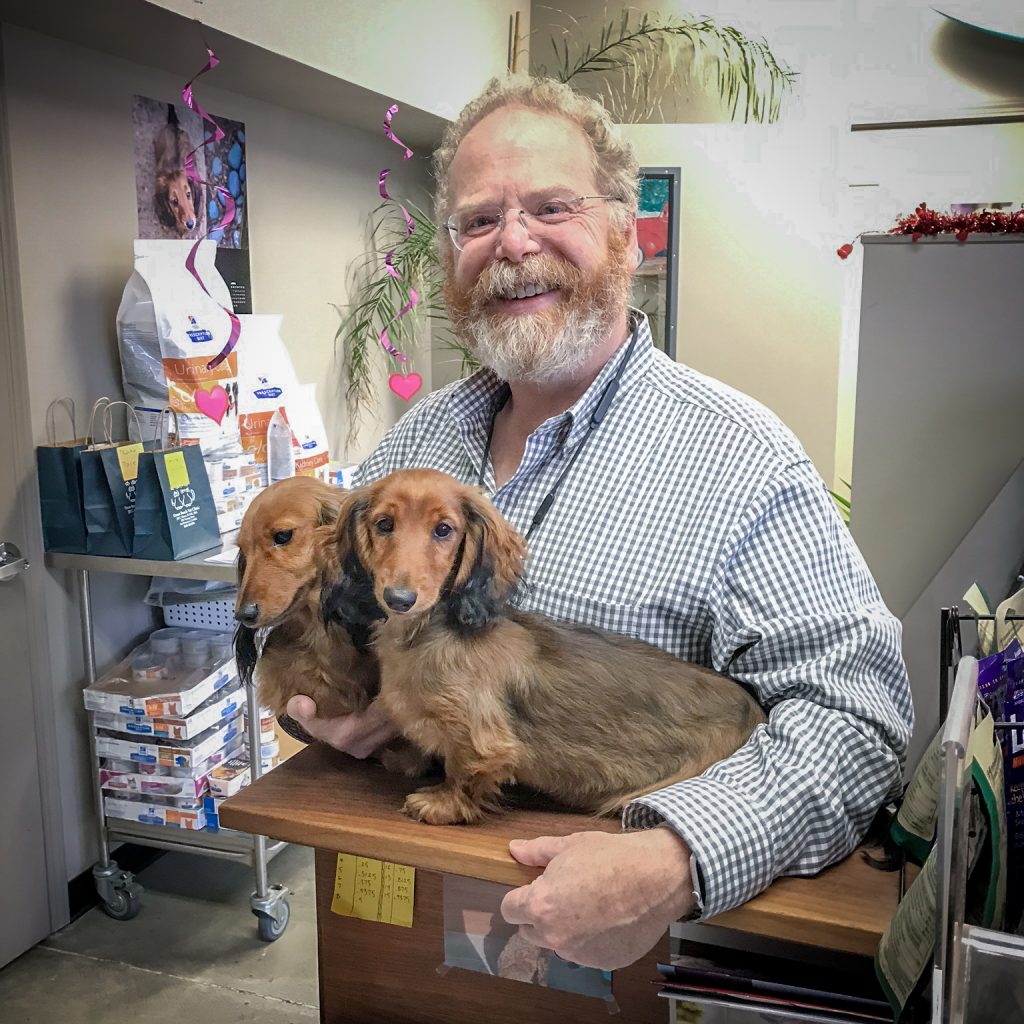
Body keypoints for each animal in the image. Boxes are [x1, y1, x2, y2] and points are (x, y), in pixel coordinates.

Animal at [327, 468, 770, 823]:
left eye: (443, 530)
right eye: (385, 524)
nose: (399, 599)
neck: (426, 634)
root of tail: (755, 711)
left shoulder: (483, 739)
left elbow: (465, 769)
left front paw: (442, 804)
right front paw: (406, 758)